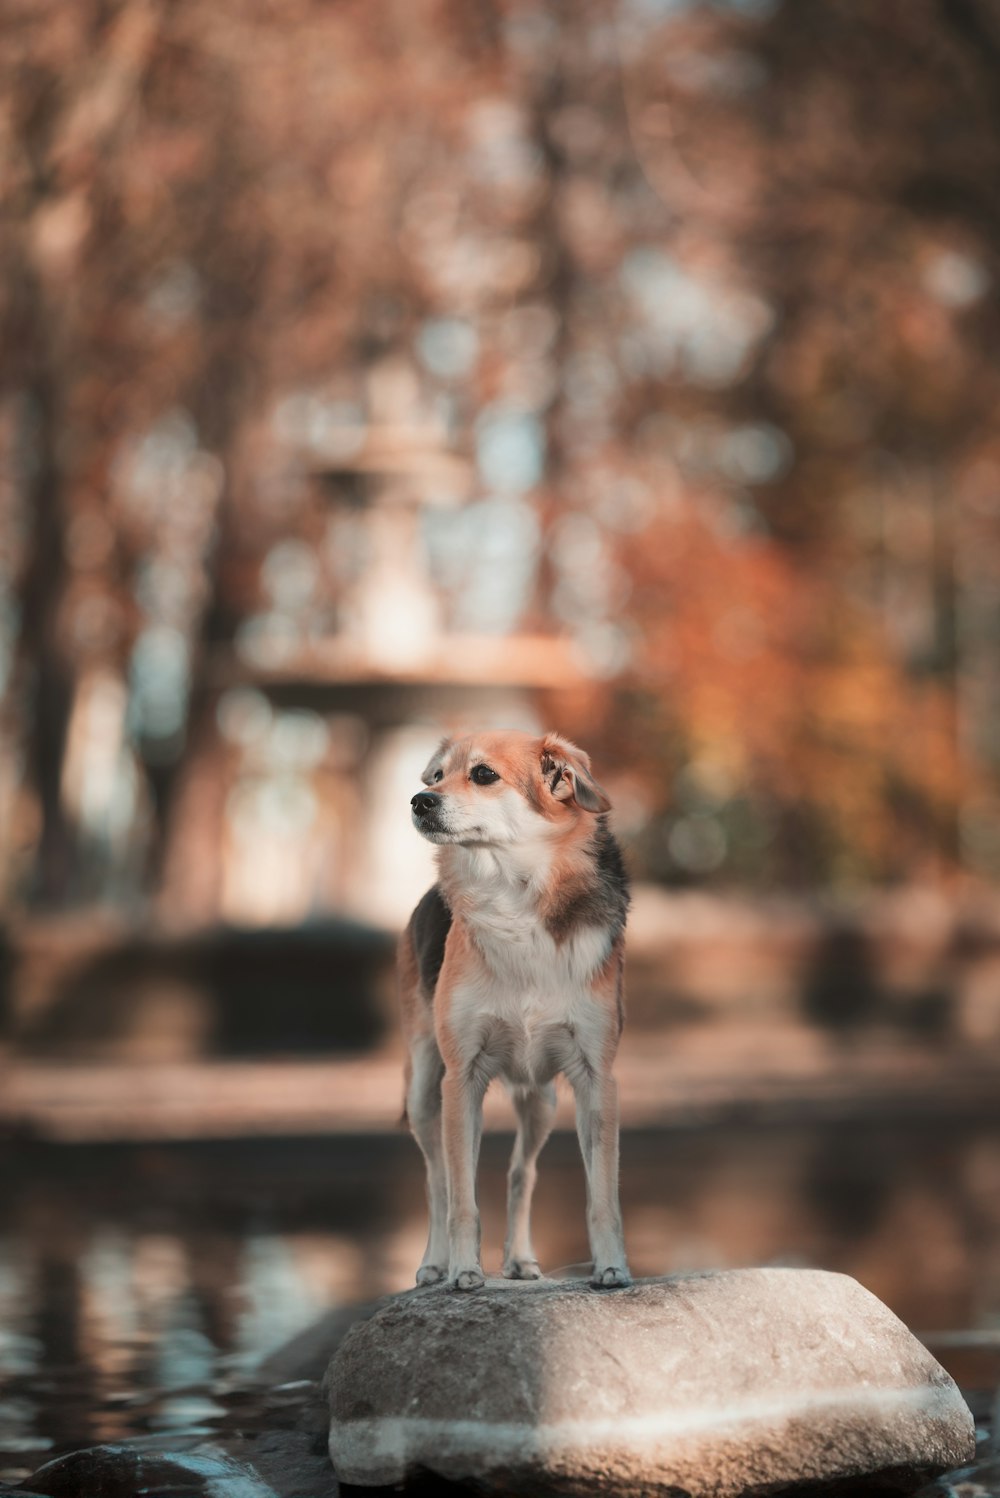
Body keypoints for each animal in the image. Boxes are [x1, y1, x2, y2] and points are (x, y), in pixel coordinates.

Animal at [401, 725, 628, 1288]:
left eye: (484, 774)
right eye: (437, 776)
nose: (419, 800)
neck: (512, 893)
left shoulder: (597, 1078)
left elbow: (602, 1194)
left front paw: (612, 1267)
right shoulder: (461, 1079)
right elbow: (461, 1195)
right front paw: (464, 1269)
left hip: (541, 1102)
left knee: (522, 1172)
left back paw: (521, 1258)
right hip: (423, 1090)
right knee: (437, 1179)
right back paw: (435, 1262)